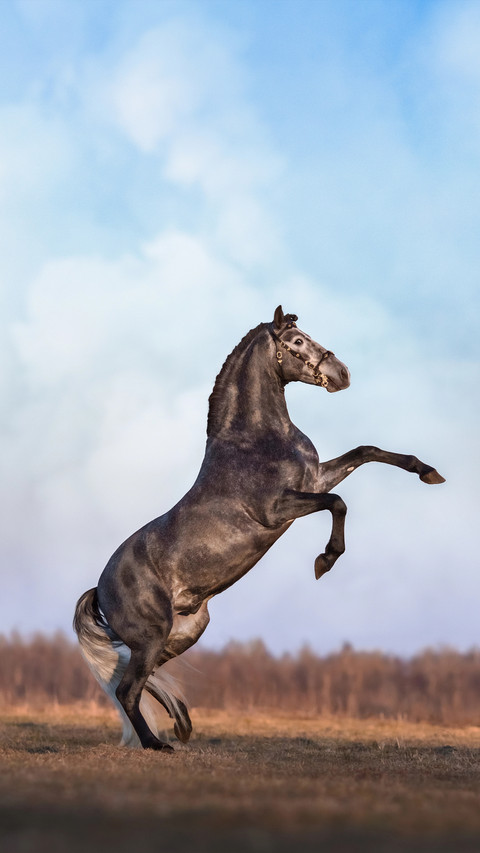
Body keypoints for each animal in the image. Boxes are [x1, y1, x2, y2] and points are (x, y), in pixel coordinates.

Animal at [74, 305, 445, 751]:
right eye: (297, 341)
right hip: (153, 634)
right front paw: (325, 560)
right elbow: (338, 503)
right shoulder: (279, 508)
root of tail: (100, 587)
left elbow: (365, 451)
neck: (255, 441)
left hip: (182, 634)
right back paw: (157, 742)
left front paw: (428, 472)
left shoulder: (315, 479)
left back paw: (180, 724)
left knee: (135, 680)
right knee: (127, 688)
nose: (342, 374)